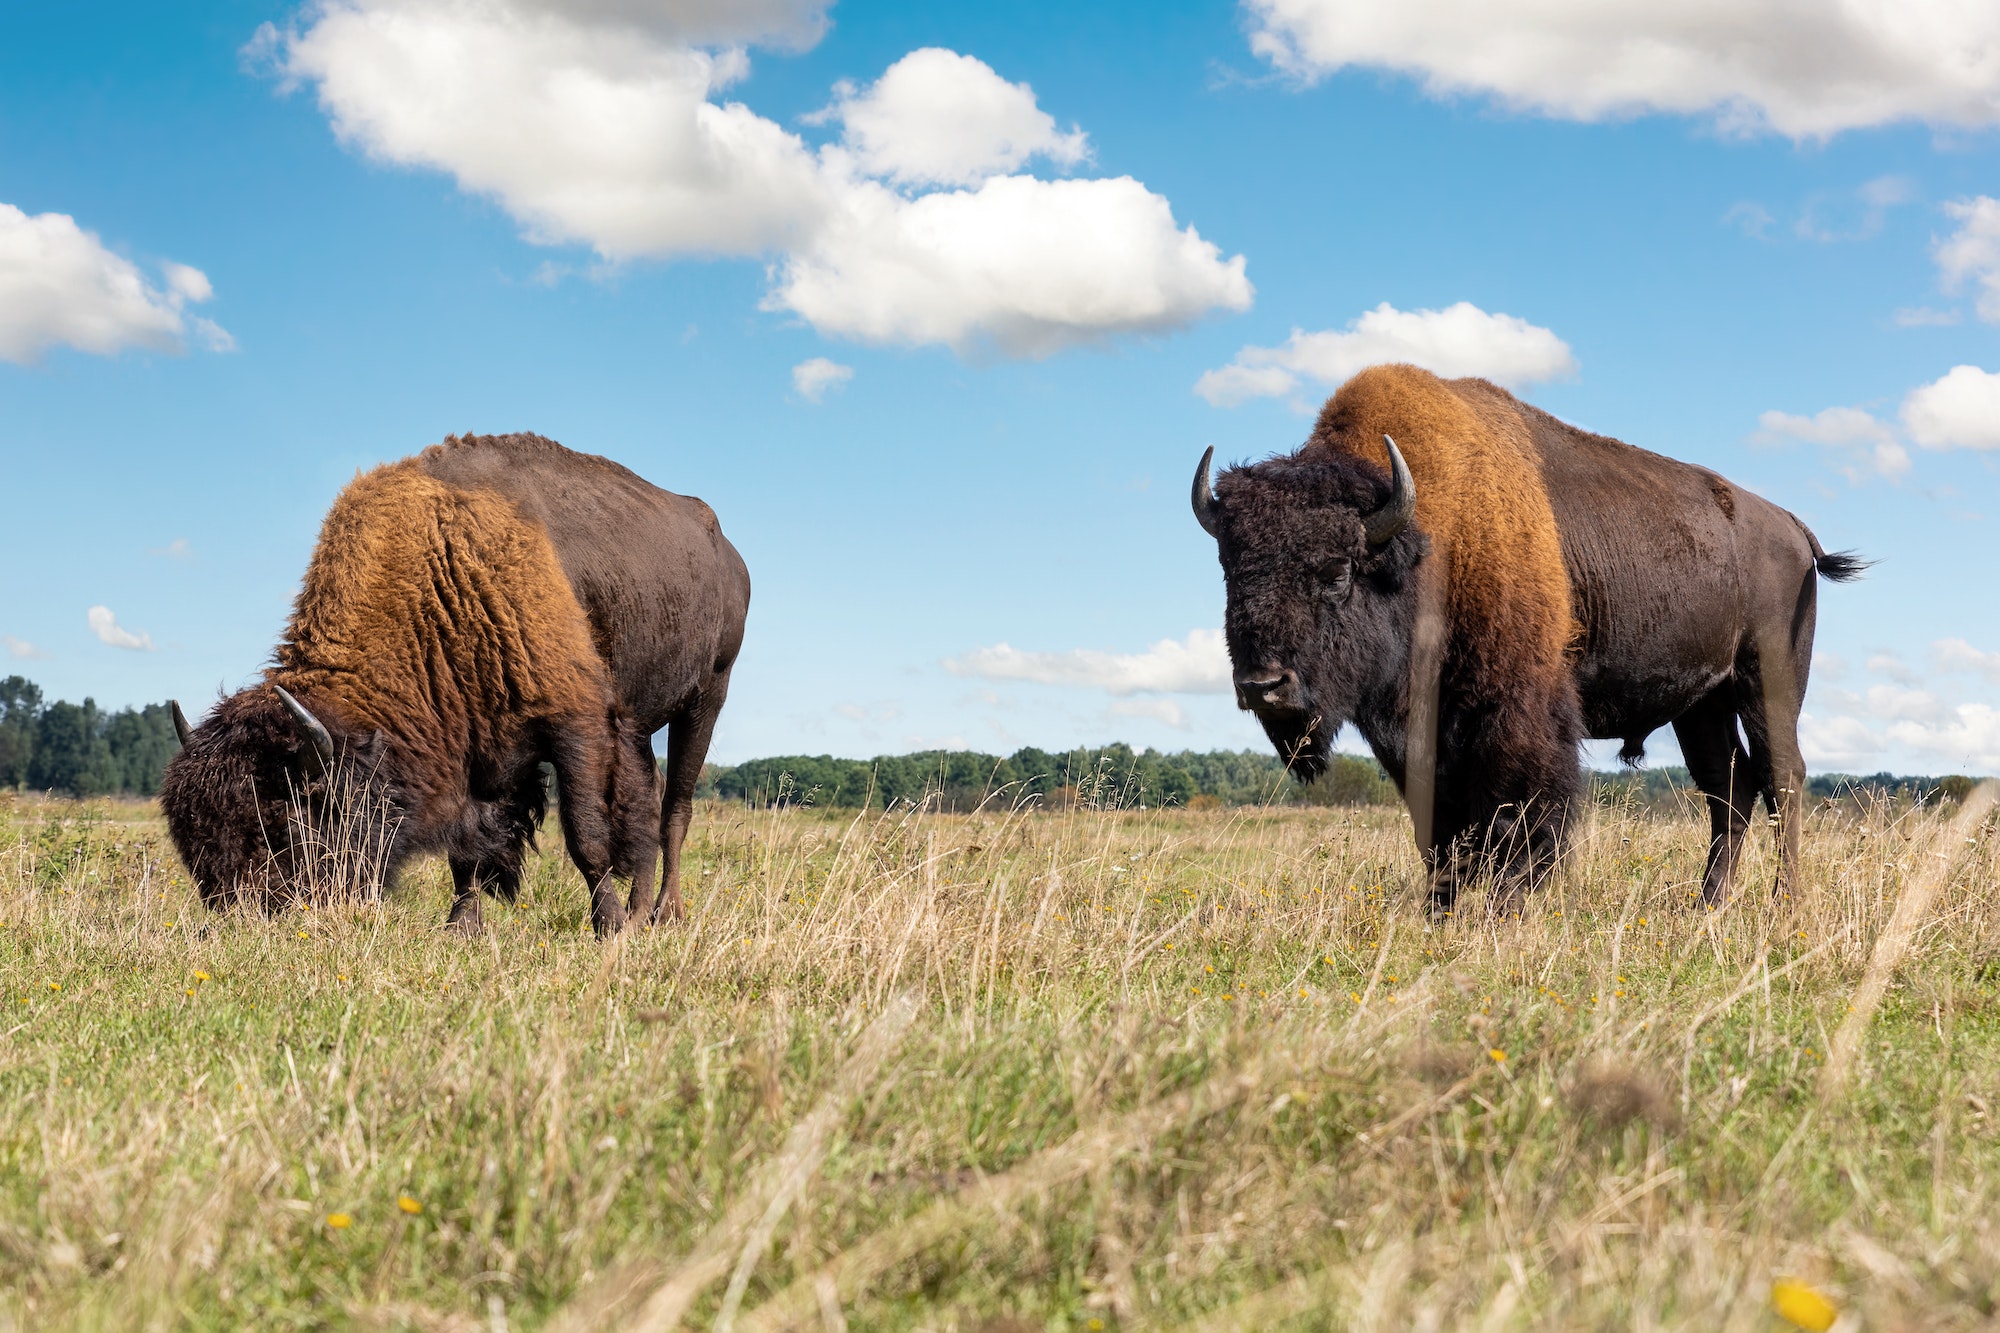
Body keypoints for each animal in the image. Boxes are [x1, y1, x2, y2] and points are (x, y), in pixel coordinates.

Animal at [164, 430, 752, 928]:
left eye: (284, 825)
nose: (238, 919)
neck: (442, 567)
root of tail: (726, 551)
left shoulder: (577, 722)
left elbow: (586, 832)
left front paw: (607, 927)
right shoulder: (472, 745)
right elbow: (464, 851)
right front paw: (462, 927)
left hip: (706, 698)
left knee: (674, 807)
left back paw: (663, 914)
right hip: (643, 721)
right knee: (648, 800)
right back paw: (640, 910)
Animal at [1184, 360, 1856, 904]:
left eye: (1337, 570)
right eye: (1230, 568)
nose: (1263, 685)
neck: (1429, 540)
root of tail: (1790, 525)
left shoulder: (1517, 714)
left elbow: (1519, 819)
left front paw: (1505, 910)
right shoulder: (1419, 738)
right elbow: (1442, 831)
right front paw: (1441, 911)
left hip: (1767, 680)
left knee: (1781, 777)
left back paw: (1784, 905)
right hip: (1701, 702)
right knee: (1728, 787)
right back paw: (1707, 904)